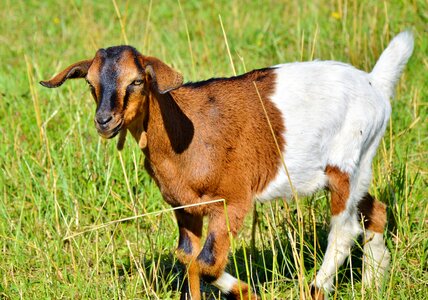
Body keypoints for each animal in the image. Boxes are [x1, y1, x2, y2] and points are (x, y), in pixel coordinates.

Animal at [41, 31, 414, 298]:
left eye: (137, 80)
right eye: (90, 83)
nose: (105, 121)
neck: (186, 134)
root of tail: (375, 83)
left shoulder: (231, 201)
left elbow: (204, 262)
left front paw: (247, 293)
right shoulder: (184, 208)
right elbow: (187, 257)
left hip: (346, 165)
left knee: (344, 230)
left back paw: (316, 289)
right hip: (356, 168)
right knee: (375, 212)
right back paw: (373, 284)